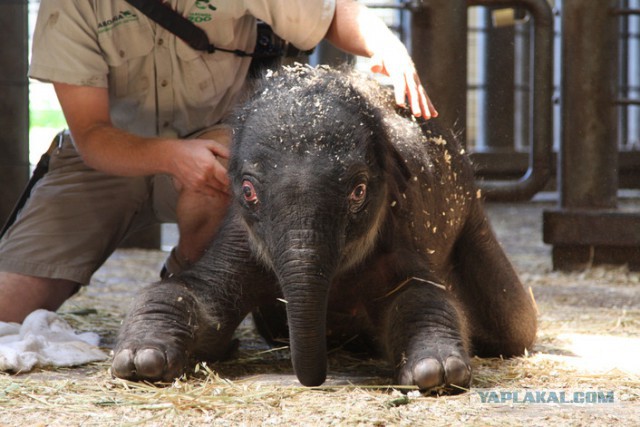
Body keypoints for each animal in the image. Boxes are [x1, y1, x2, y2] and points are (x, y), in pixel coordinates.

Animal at [112, 65, 536, 392]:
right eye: (248, 190)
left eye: (358, 190)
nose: (315, 378)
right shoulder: (239, 238)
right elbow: (197, 294)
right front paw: (140, 361)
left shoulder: (398, 229)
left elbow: (419, 295)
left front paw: (437, 373)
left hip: (472, 213)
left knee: (514, 322)